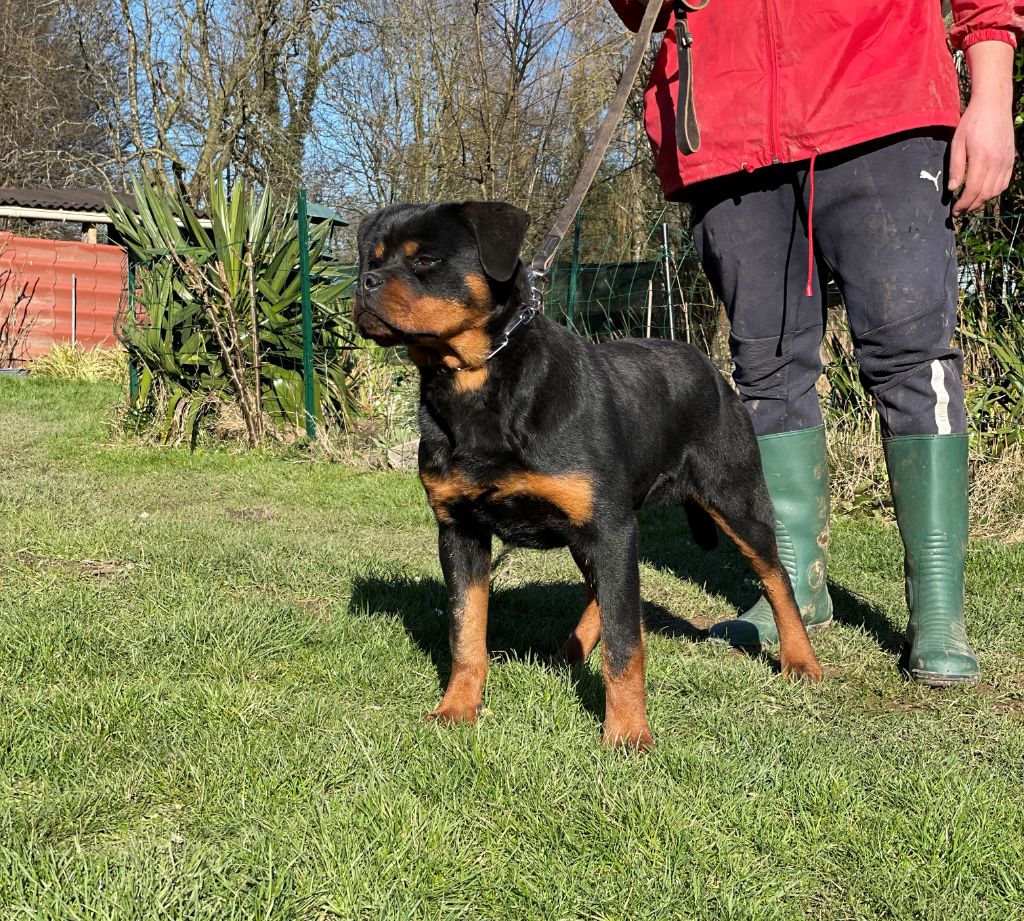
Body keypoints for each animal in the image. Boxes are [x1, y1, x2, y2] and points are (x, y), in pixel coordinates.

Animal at [356, 199, 819, 749]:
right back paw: (568, 653)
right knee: (605, 592)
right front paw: (456, 708)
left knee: (776, 578)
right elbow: (466, 632)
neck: (478, 387)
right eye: (370, 258)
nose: (363, 283)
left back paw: (801, 661)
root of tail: (707, 365)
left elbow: (626, 643)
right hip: (591, 527)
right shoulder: (460, 530)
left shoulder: (609, 526)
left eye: (425, 260)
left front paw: (628, 735)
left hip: (733, 498)